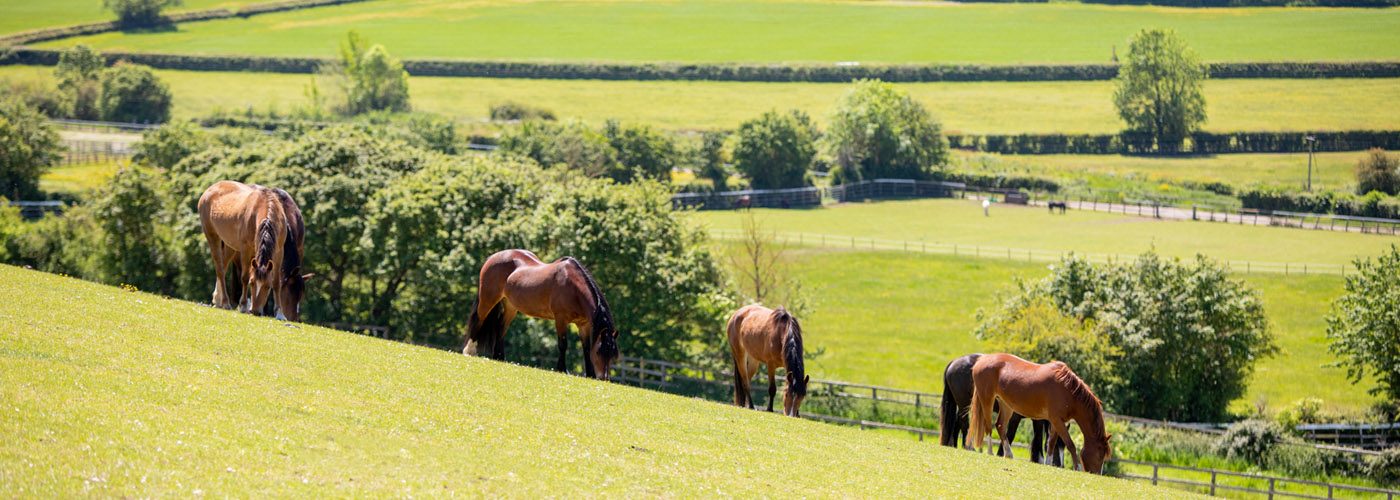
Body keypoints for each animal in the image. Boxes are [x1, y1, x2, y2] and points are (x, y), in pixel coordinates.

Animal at [200, 180, 292, 315]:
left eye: (267, 287)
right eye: (252, 283)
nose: (255, 311)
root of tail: (210, 189)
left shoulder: (279, 252)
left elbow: (277, 282)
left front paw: (279, 313)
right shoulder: (245, 249)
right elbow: (244, 277)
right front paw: (243, 306)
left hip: (230, 245)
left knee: (224, 265)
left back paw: (218, 301)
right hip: (212, 237)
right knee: (220, 269)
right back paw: (225, 302)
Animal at [464, 247, 618, 380]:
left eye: (612, 354)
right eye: (599, 351)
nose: (604, 378)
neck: (574, 288)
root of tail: (492, 257)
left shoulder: (583, 324)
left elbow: (585, 348)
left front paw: (590, 374)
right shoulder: (560, 319)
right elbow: (563, 344)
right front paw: (562, 369)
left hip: (511, 306)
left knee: (501, 326)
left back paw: (499, 357)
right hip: (488, 299)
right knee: (479, 320)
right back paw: (469, 351)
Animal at [968, 352, 1108, 473]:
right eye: (1100, 456)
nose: (1097, 473)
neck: (1068, 390)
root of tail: (982, 360)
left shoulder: (1056, 421)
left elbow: (1051, 443)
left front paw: (1048, 463)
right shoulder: (1057, 420)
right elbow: (1070, 444)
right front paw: (1077, 467)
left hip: (1006, 405)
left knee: (1000, 425)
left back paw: (1008, 454)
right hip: (987, 400)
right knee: (988, 426)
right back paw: (990, 452)